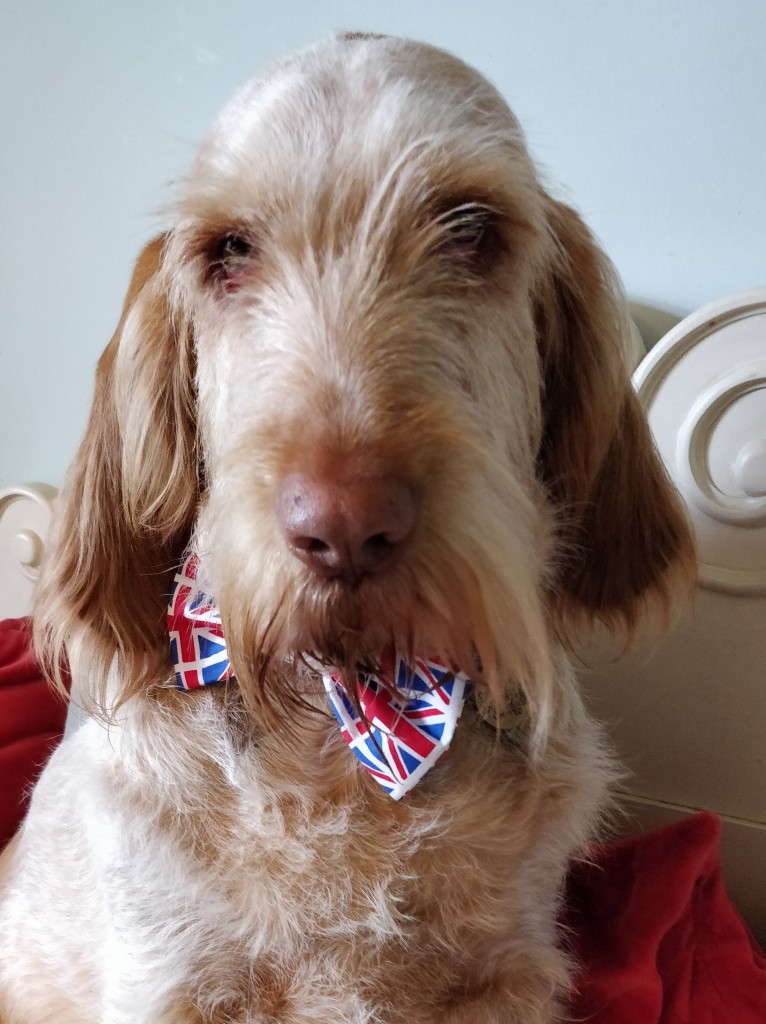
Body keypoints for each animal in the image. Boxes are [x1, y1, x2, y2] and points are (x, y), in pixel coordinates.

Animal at [0, 32, 692, 1024]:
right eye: (229, 250)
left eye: (471, 229)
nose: (344, 525)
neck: (341, 723)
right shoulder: (171, 983)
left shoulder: (509, 977)